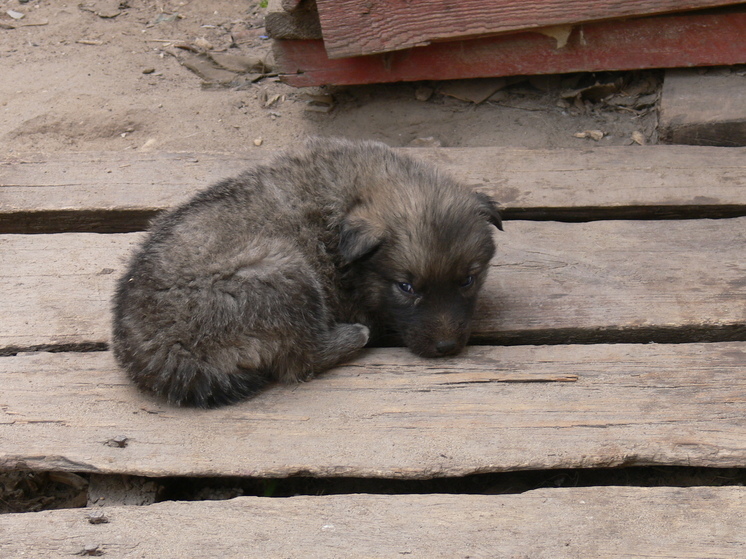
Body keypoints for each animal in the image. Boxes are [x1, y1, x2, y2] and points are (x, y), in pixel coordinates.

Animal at [110, 138, 502, 410]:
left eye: (468, 280)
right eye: (406, 287)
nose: (447, 348)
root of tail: (163, 356)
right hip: (282, 270)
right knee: (300, 360)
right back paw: (355, 335)